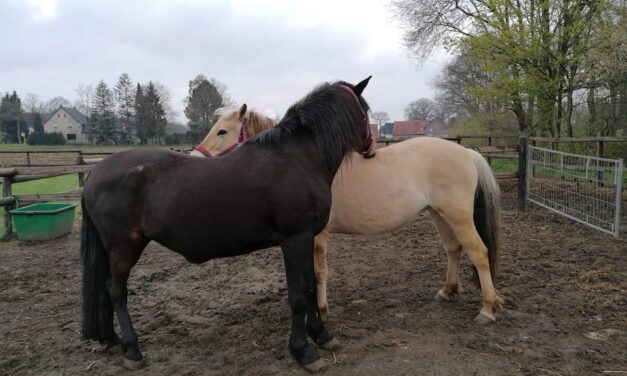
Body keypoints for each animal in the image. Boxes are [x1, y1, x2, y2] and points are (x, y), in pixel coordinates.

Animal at [81, 77, 376, 374]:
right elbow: (298, 295)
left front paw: (323, 335)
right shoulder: (295, 239)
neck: (298, 158)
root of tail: (95, 171)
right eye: (366, 111)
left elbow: (311, 288)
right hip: (123, 247)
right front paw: (304, 351)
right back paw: (132, 349)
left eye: (223, 131)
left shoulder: (308, 238)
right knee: (116, 291)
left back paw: (114, 339)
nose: (371, 148)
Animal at [196, 105, 506, 324]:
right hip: (439, 214)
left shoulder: (316, 236)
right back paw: (448, 291)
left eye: (222, 131)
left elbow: (318, 273)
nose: (196, 158)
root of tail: (467, 153)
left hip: (458, 216)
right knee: (453, 249)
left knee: (478, 252)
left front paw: (321, 310)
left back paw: (488, 309)